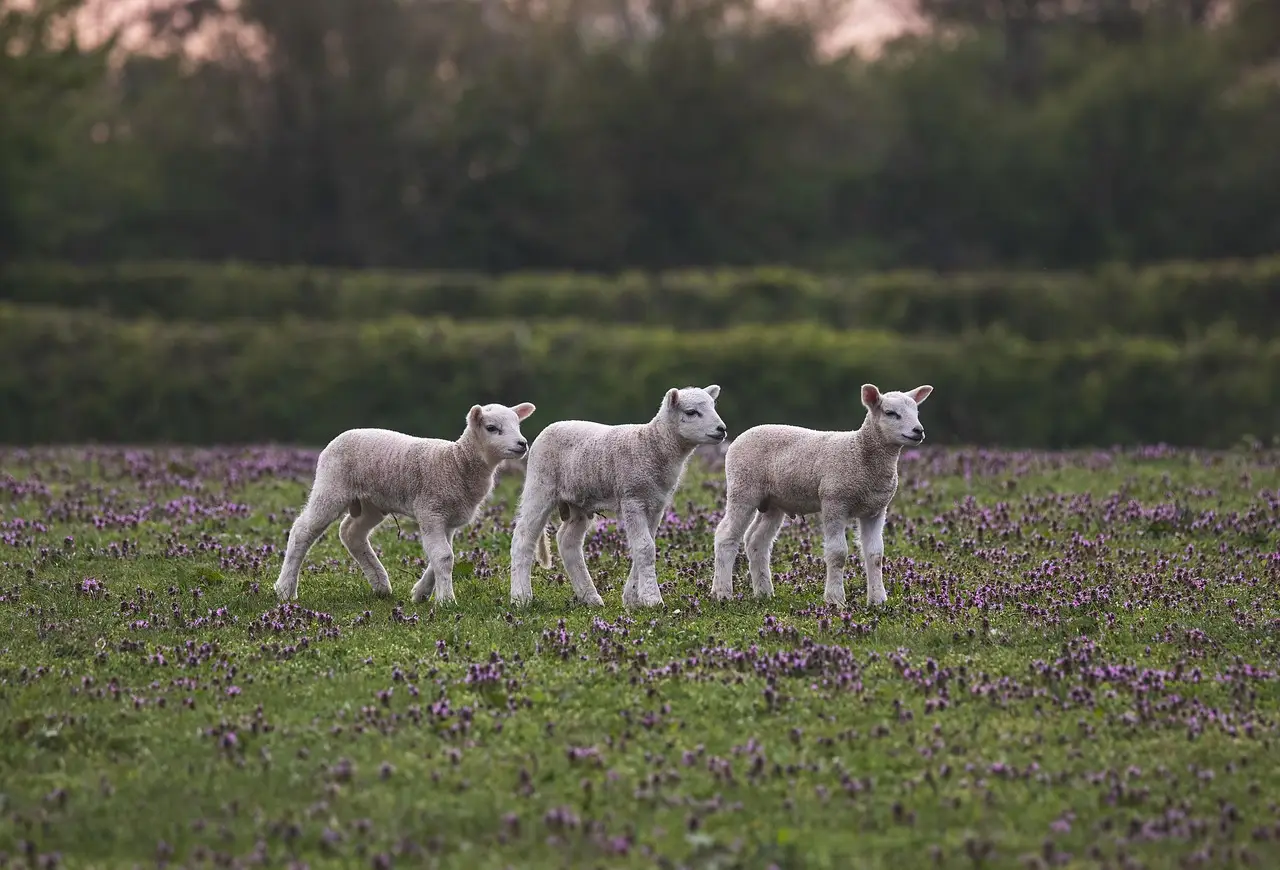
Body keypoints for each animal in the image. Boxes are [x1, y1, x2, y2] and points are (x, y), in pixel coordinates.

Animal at [273, 402, 537, 605]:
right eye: (492, 428)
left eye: (518, 425)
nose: (523, 444)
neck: (456, 462)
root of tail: (340, 436)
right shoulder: (431, 510)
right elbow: (444, 556)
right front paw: (446, 601)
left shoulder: (448, 519)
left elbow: (438, 557)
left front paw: (421, 594)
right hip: (331, 486)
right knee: (303, 530)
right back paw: (285, 589)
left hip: (371, 502)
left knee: (351, 532)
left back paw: (380, 584)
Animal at [508, 385, 727, 609]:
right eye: (691, 412)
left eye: (713, 406)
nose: (722, 429)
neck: (652, 445)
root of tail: (552, 426)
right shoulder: (632, 499)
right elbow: (645, 547)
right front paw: (652, 599)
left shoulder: (656, 505)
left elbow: (645, 546)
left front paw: (633, 598)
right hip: (540, 486)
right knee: (523, 538)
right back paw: (521, 597)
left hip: (579, 502)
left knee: (567, 541)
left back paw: (590, 597)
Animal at [710, 384, 932, 608]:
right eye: (890, 413)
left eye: (917, 412)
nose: (919, 431)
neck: (860, 452)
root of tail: (740, 437)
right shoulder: (834, 502)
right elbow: (838, 553)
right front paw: (835, 600)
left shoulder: (876, 510)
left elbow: (875, 555)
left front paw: (878, 601)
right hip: (743, 488)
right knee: (726, 536)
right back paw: (722, 593)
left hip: (773, 502)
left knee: (757, 541)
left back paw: (764, 593)